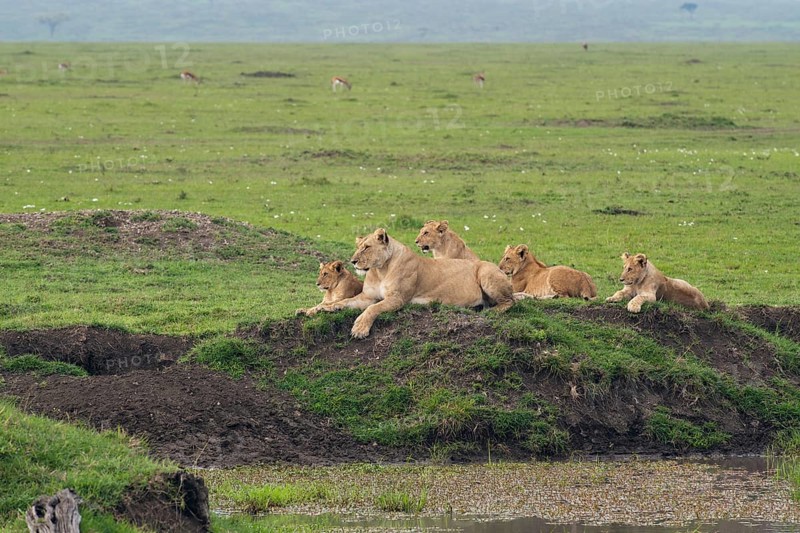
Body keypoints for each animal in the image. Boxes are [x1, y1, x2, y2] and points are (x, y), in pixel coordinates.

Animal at [316, 228, 514, 338]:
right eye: (358, 247)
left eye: (366, 247)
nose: (353, 261)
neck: (381, 270)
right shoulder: (367, 296)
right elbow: (346, 301)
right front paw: (325, 307)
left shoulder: (397, 299)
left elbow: (373, 308)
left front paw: (359, 329)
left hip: (486, 272)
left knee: (509, 301)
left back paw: (491, 311)